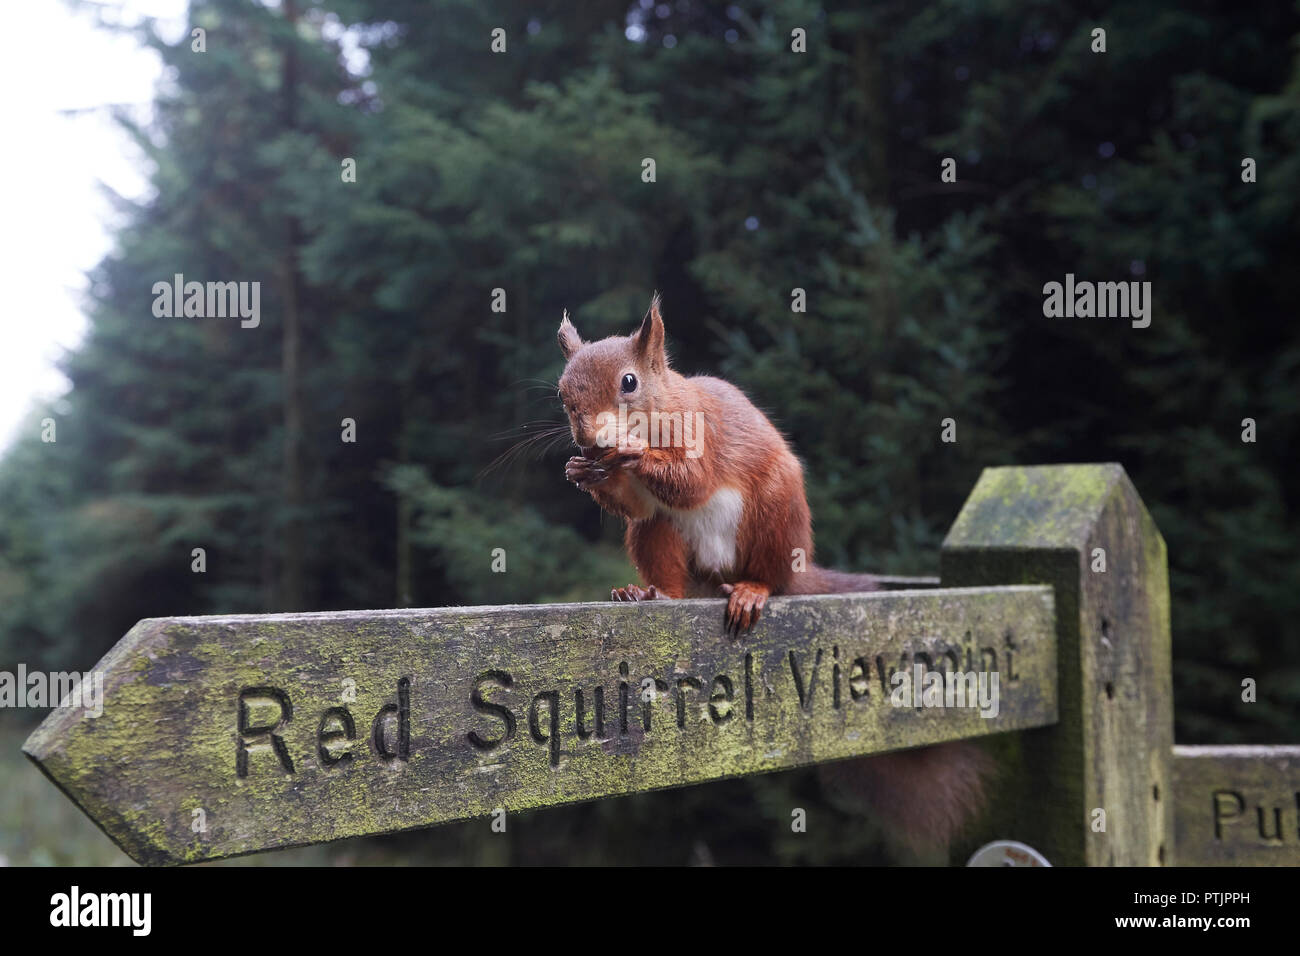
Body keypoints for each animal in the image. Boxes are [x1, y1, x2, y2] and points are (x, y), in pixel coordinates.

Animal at [553, 297, 987, 853]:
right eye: (563, 394)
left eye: (629, 382)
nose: (587, 438)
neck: (659, 413)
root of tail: (714, 578)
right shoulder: (634, 499)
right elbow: (634, 502)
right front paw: (582, 472)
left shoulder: (705, 435)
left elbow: (690, 481)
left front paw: (631, 454)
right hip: (657, 538)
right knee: (662, 553)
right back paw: (650, 594)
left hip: (775, 517)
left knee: (771, 577)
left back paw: (751, 592)